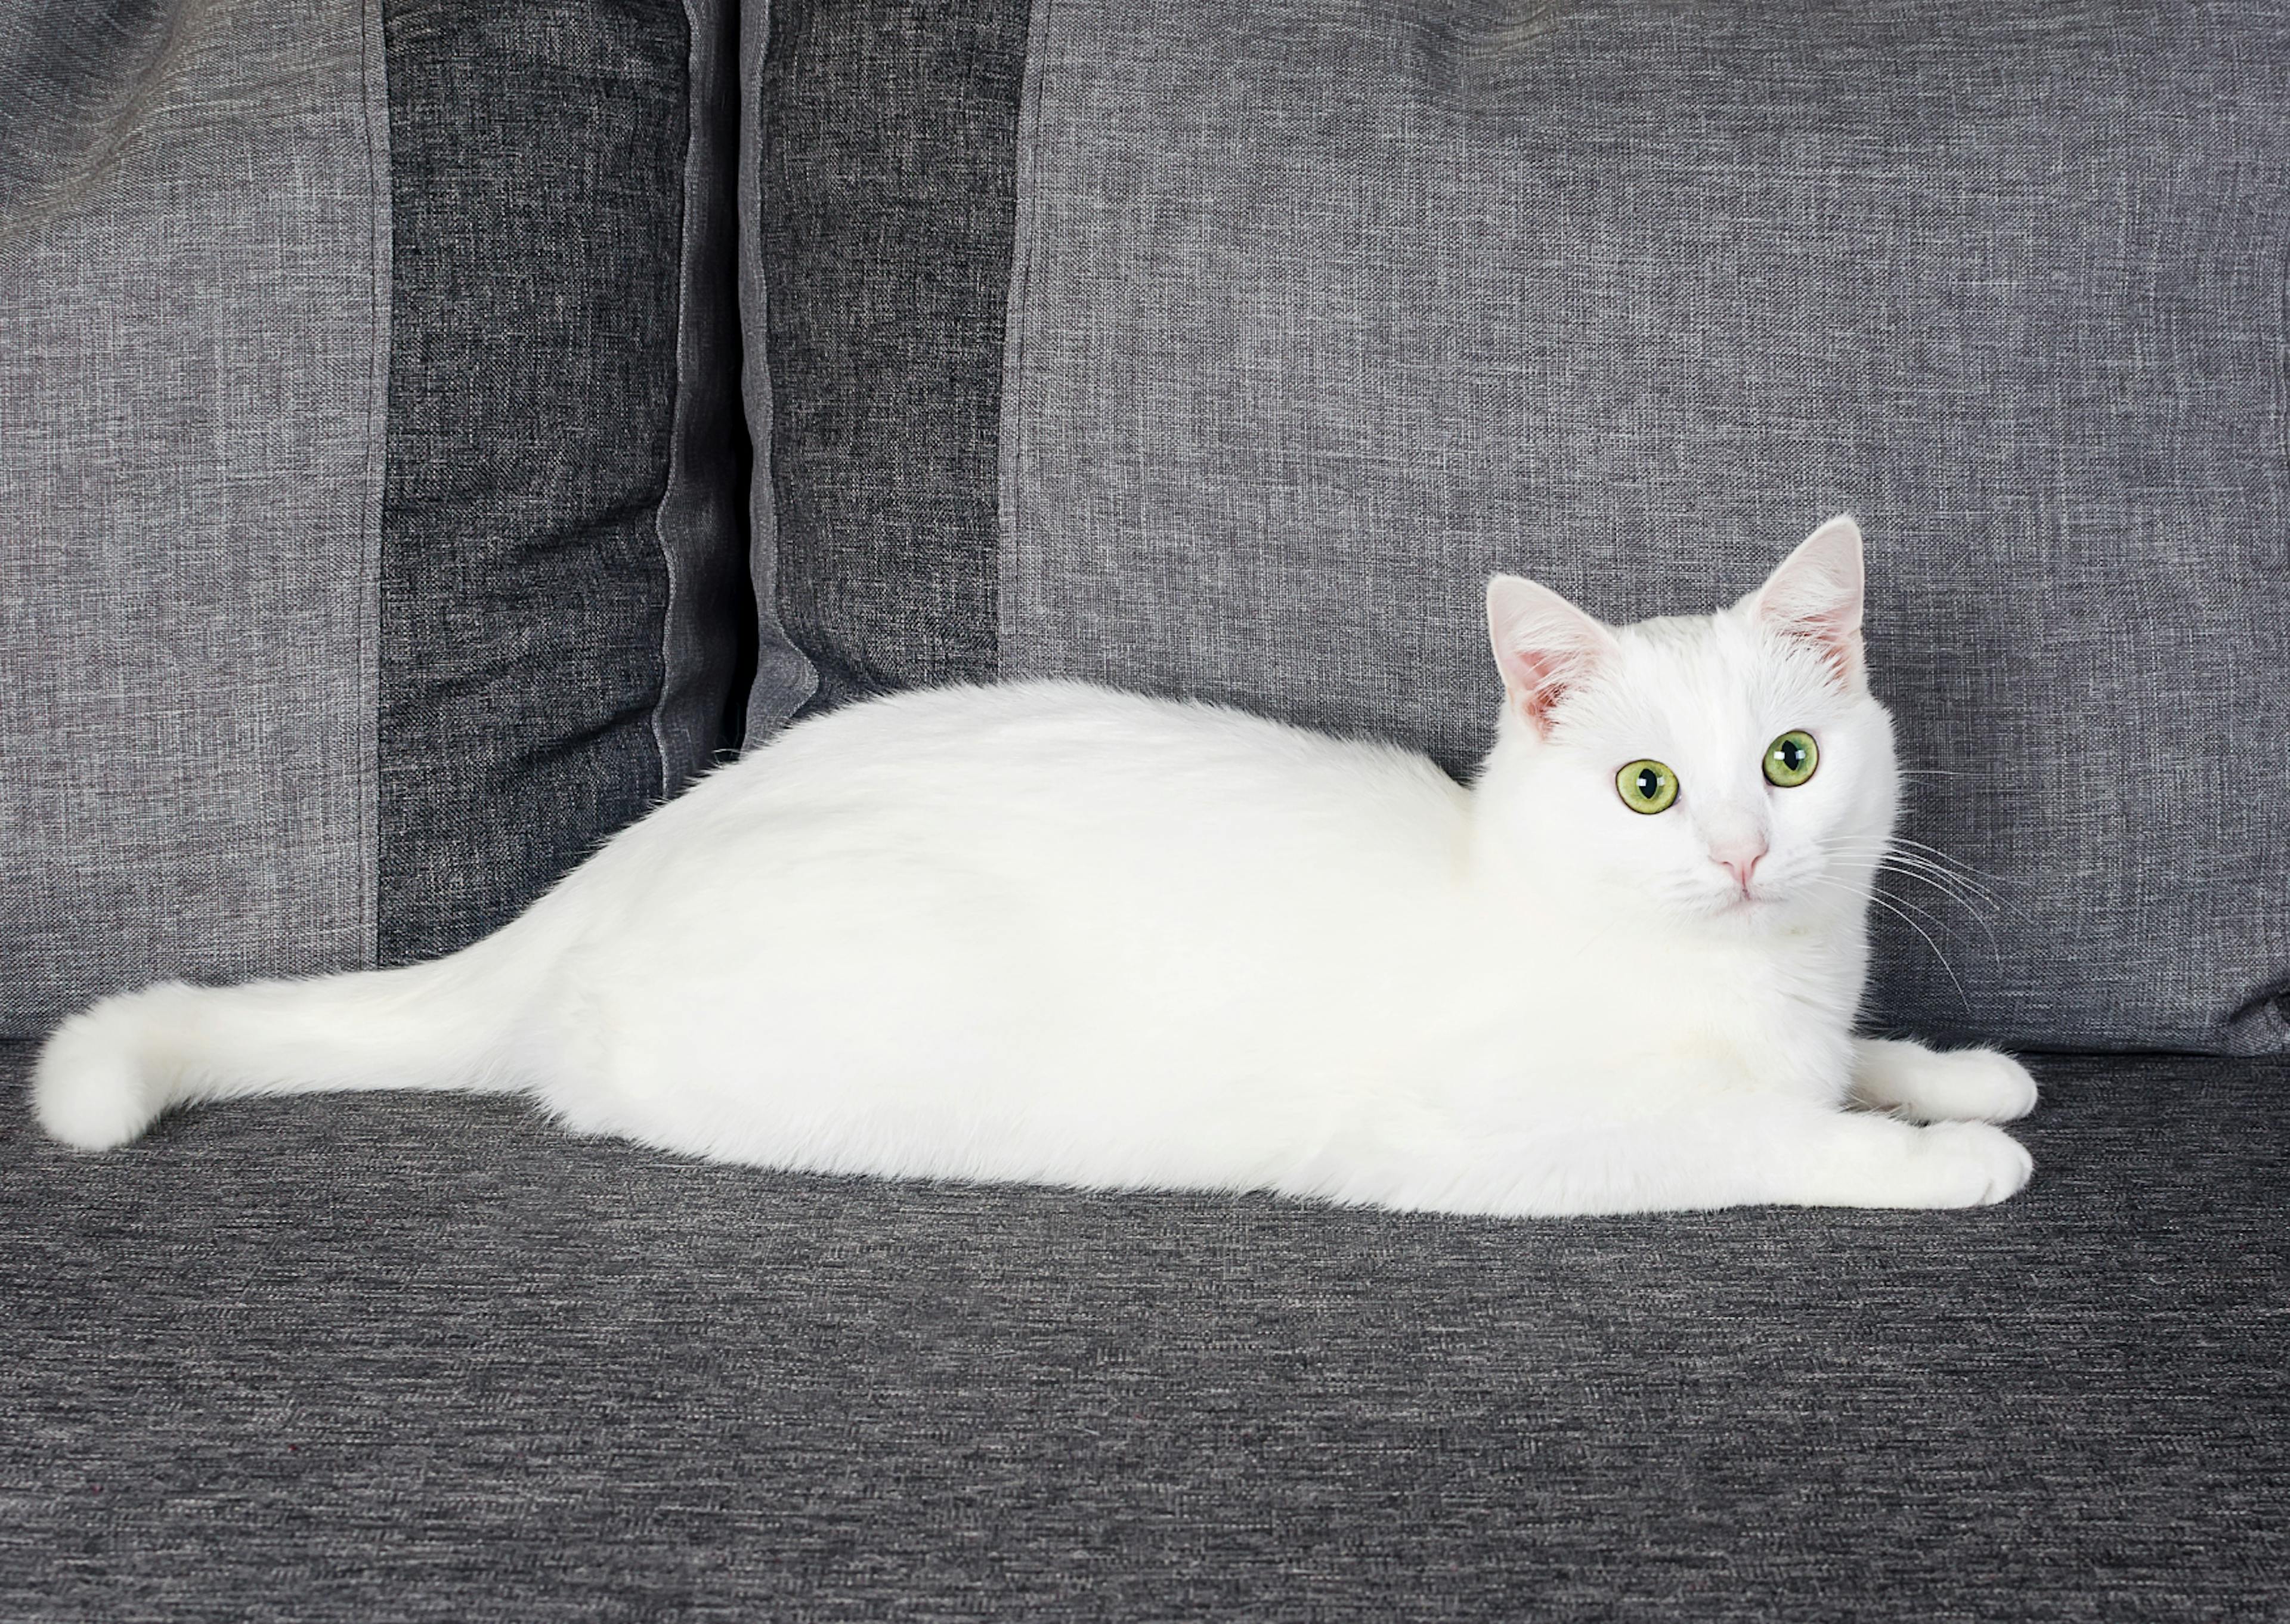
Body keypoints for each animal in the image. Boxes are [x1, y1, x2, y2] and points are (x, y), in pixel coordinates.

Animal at [31, 513, 2043, 1209]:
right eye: (1643, 786)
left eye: (1788, 762)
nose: (1741, 849)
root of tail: (623, 857)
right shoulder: (1494, 1131)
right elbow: (1759, 1137)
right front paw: (1940, 1156)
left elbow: (1844, 1063)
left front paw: (1957, 1070)